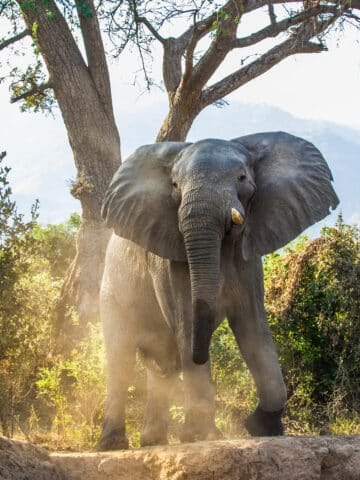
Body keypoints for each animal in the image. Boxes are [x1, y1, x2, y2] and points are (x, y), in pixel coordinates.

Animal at [97, 130, 338, 450]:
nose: (201, 354)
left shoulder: (248, 257)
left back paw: (153, 442)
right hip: (112, 288)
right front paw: (201, 436)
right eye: (175, 185)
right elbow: (187, 322)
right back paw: (113, 444)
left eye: (242, 178)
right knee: (121, 356)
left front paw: (262, 426)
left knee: (162, 364)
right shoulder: (168, 261)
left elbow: (253, 327)